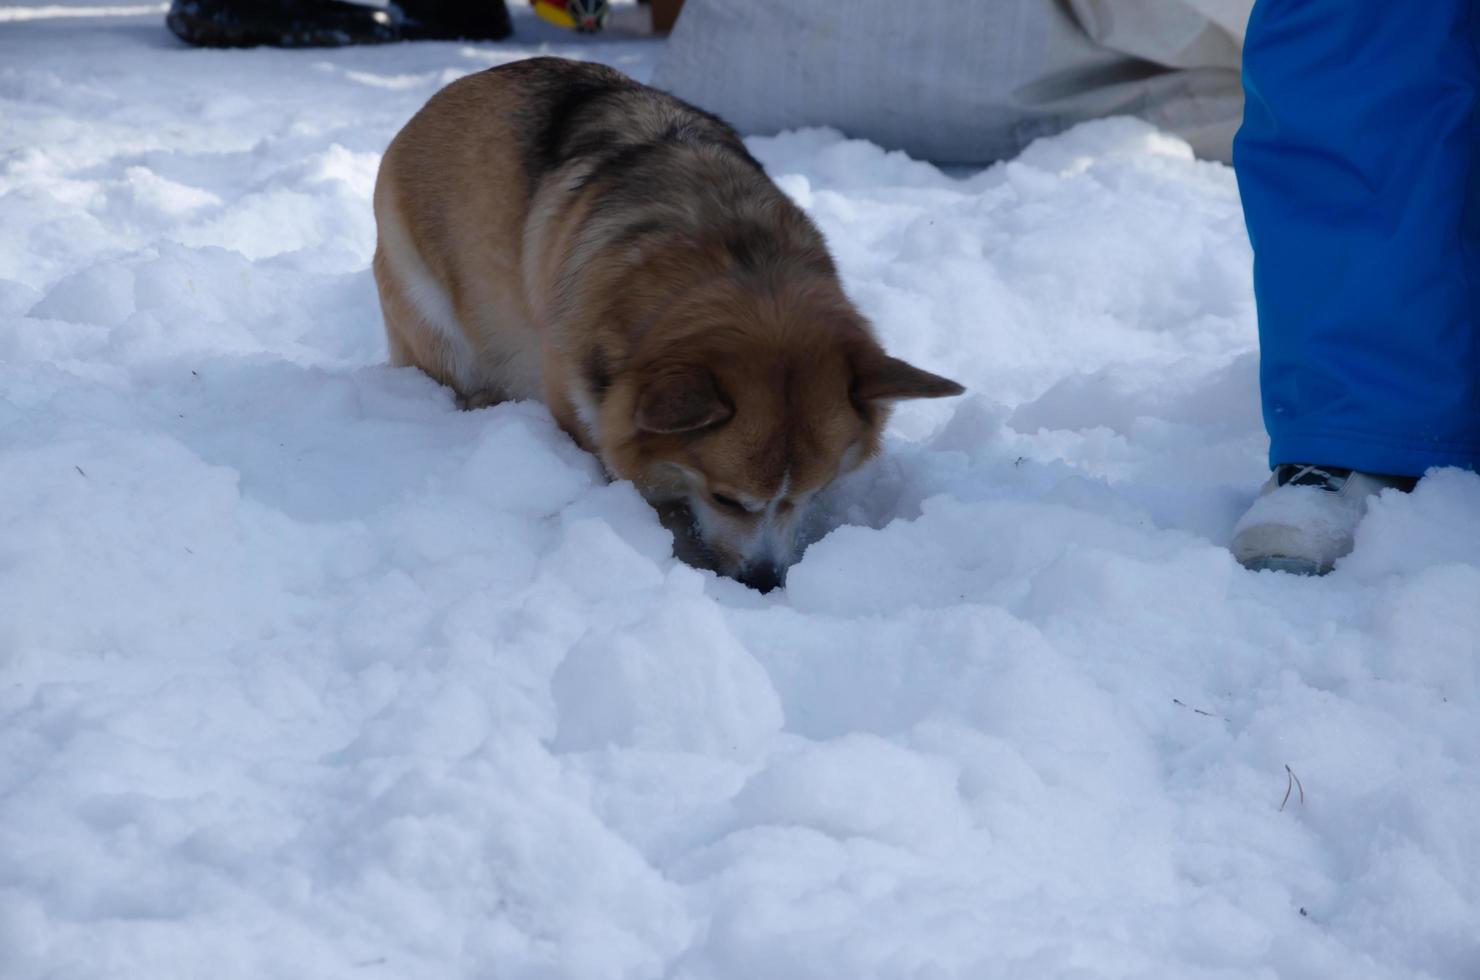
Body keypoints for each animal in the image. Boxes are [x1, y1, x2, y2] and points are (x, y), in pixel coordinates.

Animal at [375, 59, 964, 592]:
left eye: (813, 494)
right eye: (726, 498)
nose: (765, 582)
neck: (739, 261)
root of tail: (442, 97)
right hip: (434, 309)